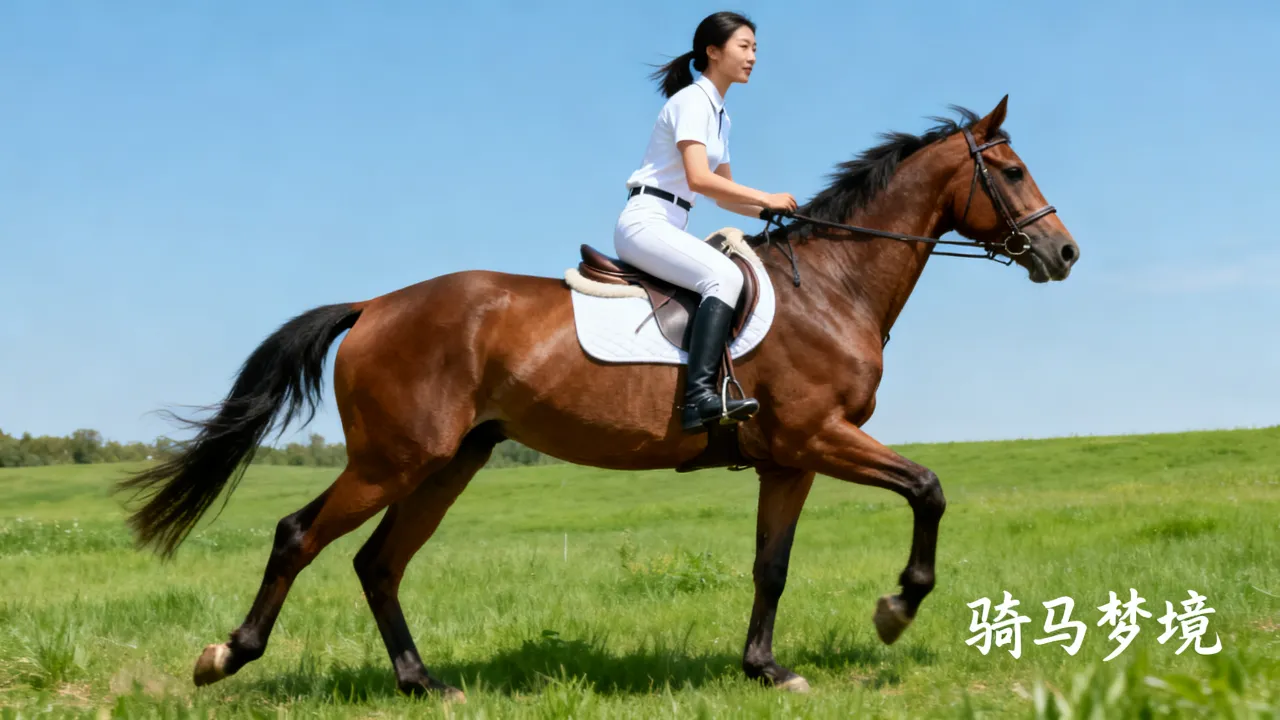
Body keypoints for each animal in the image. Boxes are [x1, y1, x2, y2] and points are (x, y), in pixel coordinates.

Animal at [116, 96, 1079, 700]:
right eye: (1013, 171)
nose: (1064, 253)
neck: (833, 288)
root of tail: (377, 305)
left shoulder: (789, 459)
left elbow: (771, 566)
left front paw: (766, 669)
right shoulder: (820, 437)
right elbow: (928, 488)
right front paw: (894, 611)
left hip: (449, 463)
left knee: (378, 563)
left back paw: (423, 683)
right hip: (395, 458)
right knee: (301, 536)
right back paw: (227, 657)